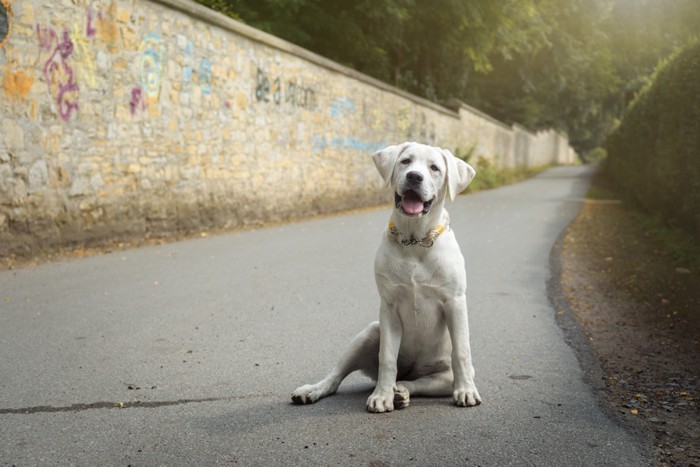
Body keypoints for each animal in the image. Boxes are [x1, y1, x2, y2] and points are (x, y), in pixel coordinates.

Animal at [290, 143, 482, 414]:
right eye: (405, 161)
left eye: (434, 168)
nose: (414, 177)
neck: (414, 241)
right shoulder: (390, 307)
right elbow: (387, 358)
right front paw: (381, 396)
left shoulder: (455, 303)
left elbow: (462, 352)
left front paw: (466, 391)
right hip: (368, 334)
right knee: (336, 377)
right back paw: (315, 390)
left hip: (442, 378)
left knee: (416, 382)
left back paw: (401, 391)